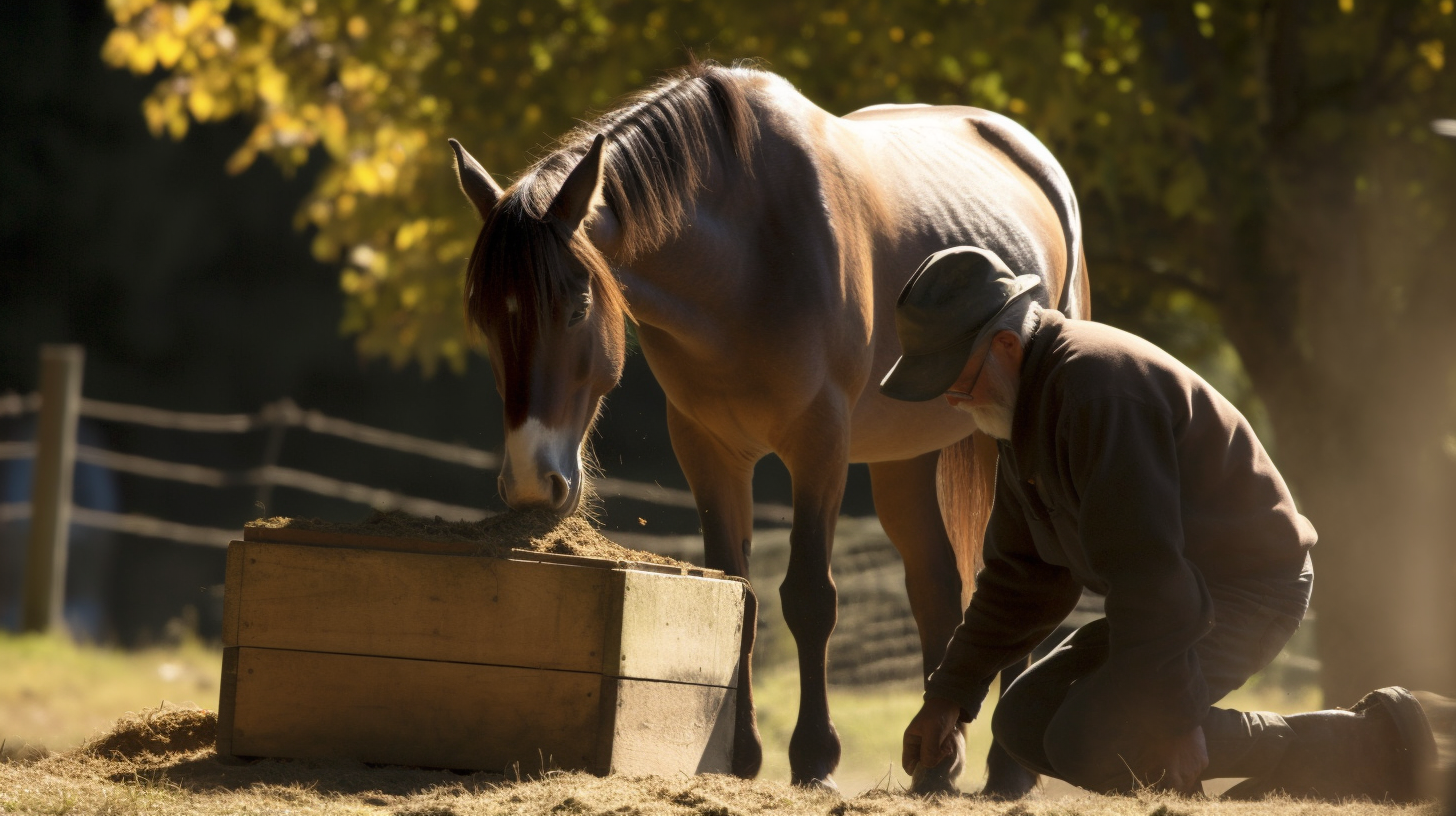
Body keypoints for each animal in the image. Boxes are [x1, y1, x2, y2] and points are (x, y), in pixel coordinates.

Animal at [448, 65, 1089, 798]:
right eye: (484, 317)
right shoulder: (709, 450)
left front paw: (815, 759)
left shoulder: (819, 446)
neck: (747, 254)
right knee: (935, 581)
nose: (532, 480)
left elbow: (809, 599)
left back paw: (1008, 770)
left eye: (578, 305)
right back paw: (936, 765)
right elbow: (739, 597)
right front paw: (740, 755)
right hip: (903, 455)